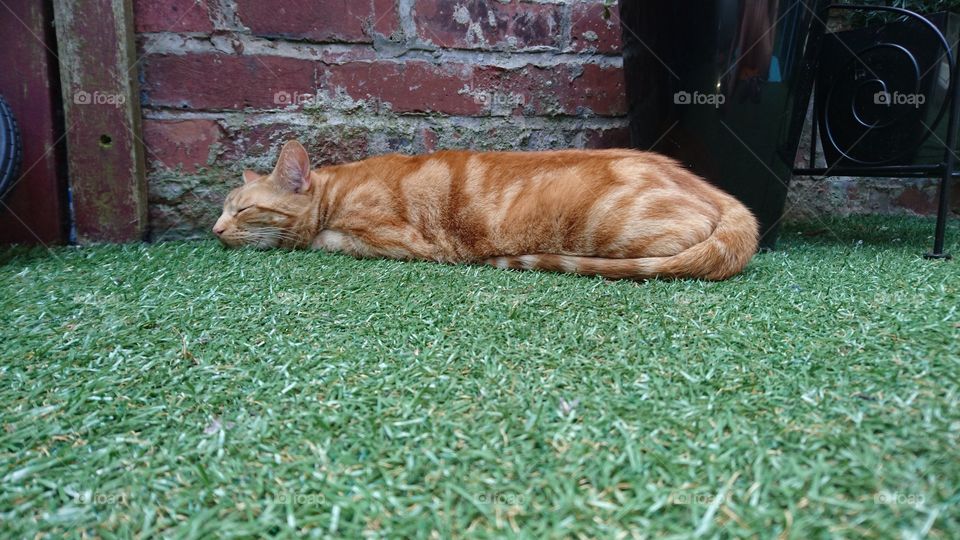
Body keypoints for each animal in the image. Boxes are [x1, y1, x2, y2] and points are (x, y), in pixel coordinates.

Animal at [214, 141, 760, 280]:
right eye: (226, 210)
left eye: (242, 211)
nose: (216, 229)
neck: (338, 189)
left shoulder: (398, 241)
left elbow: (324, 240)